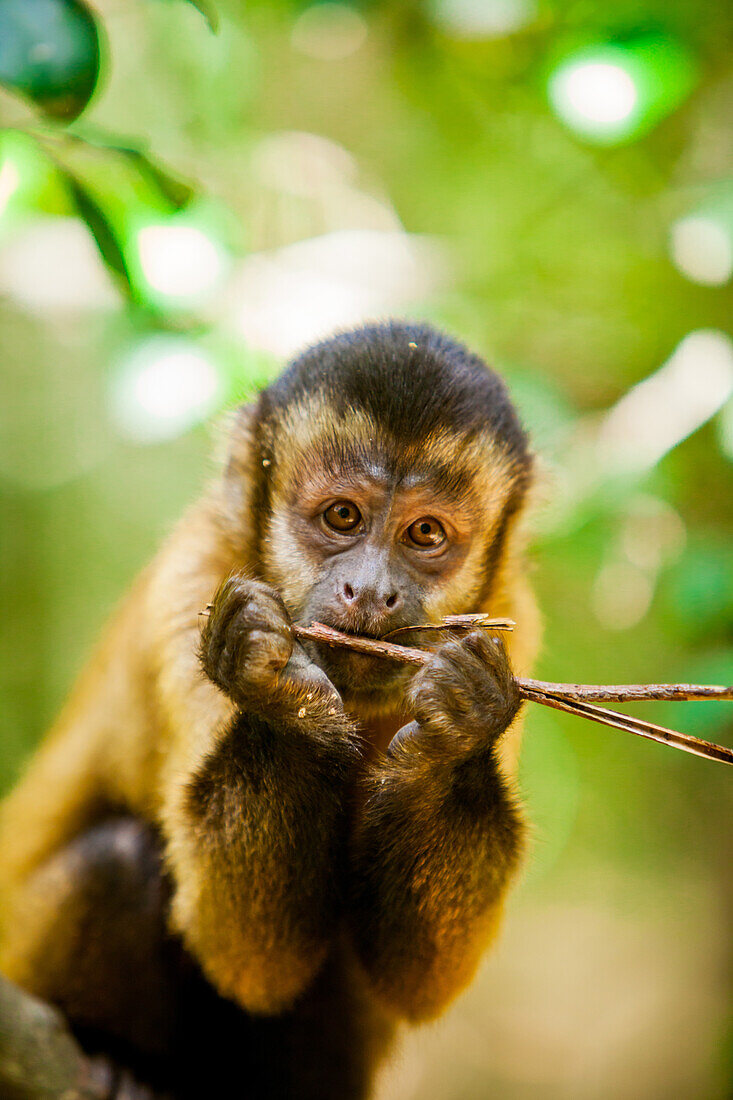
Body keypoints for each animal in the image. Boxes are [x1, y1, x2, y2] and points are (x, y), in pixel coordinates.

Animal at [0, 321, 537, 1100]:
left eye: (426, 535)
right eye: (342, 516)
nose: (369, 591)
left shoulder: (511, 619)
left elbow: (417, 980)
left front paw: (459, 732)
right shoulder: (193, 582)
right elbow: (244, 955)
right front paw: (283, 696)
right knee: (119, 862)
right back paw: (112, 1055)